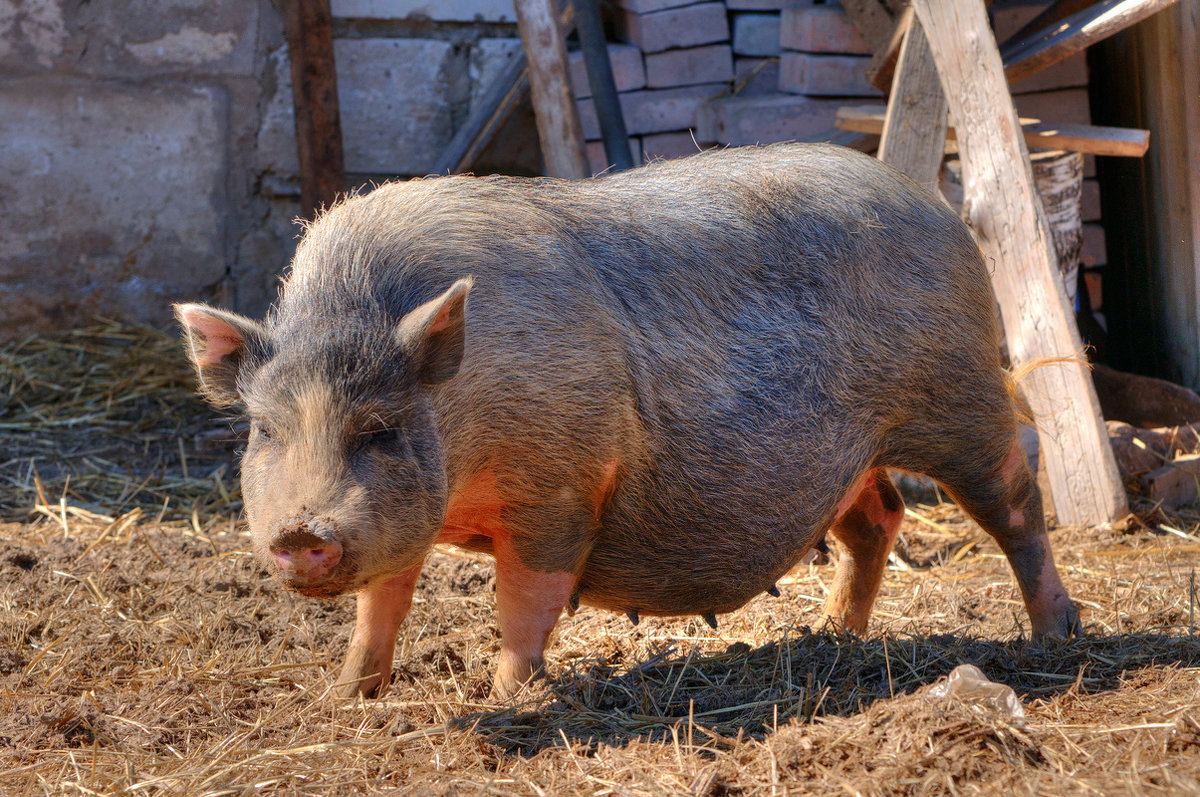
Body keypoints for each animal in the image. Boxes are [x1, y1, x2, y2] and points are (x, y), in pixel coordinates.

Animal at [175, 141, 1080, 696]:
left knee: (1018, 504)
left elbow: (525, 599)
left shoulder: (560, 486)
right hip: (854, 454)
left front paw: (508, 696)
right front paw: (346, 695)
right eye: (266, 430)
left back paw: (1056, 636)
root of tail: (934, 205)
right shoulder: (406, 517)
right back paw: (832, 636)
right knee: (876, 520)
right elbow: (382, 602)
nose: (300, 530)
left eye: (379, 429)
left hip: (961, 399)